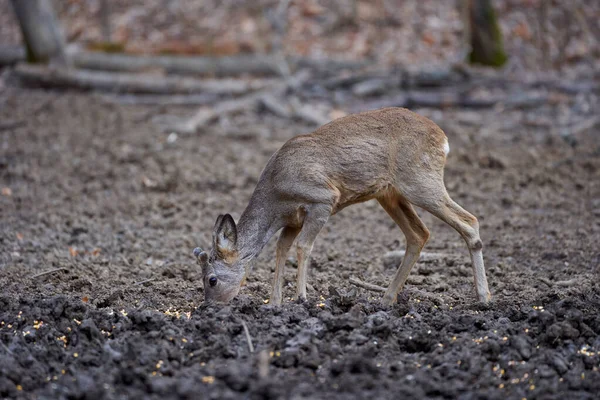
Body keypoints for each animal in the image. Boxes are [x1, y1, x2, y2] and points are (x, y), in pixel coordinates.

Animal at [195, 107, 490, 306]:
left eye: (211, 279)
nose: (209, 307)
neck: (276, 195)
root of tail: (443, 138)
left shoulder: (323, 198)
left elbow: (303, 247)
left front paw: (301, 298)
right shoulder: (292, 220)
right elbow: (281, 250)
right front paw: (274, 303)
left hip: (419, 180)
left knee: (469, 220)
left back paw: (484, 296)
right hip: (390, 194)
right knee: (419, 234)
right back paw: (386, 299)